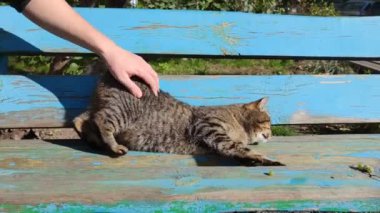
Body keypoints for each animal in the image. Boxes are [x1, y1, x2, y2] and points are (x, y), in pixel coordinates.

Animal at [72, 71, 284, 166]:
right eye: (268, 121)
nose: (272, 134)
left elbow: (233, 149)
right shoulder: (208, 125)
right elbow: (235, 146)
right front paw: (261, 157)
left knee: (81, 119)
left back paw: (93, 140)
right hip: (123, 112)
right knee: (101, 119)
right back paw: (113, 145)